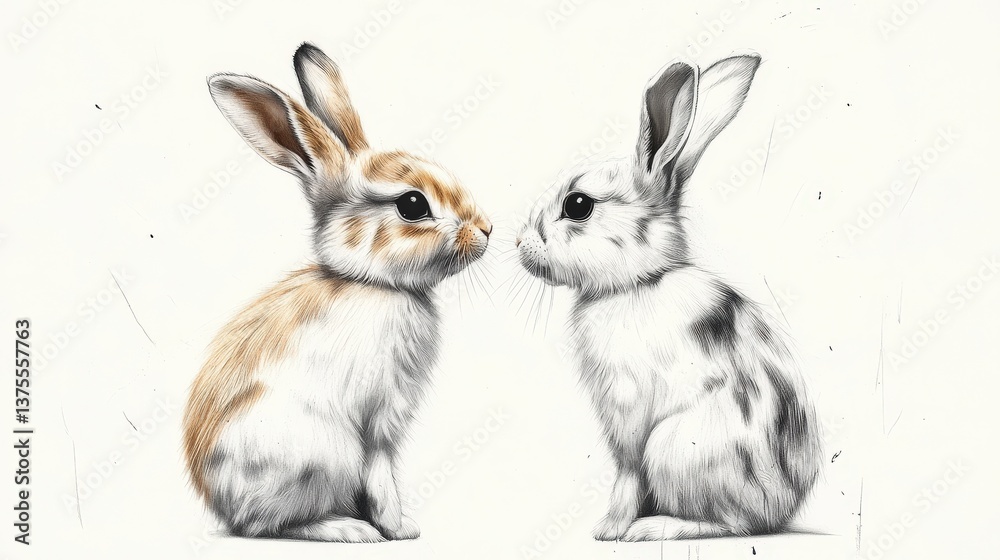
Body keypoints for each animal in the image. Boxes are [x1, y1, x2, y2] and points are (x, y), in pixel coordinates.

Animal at [182, 43, 492, 543]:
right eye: (413, 205)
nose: (486, 230)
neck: (372, 282)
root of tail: (222, 507)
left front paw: (399, 526)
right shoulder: (379, 419)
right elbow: (381, 472)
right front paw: (398, 530)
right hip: (321, 453)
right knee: (268, 525)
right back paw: (346, 529)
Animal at [515, 54, 821, 541]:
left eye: (578, 205)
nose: (519, 244)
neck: (638, 282)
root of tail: (778, 510)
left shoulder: (627, 414)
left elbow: (625, 473)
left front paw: (609, 530)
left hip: (672, 445)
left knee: (730, 524)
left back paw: (653, 527)